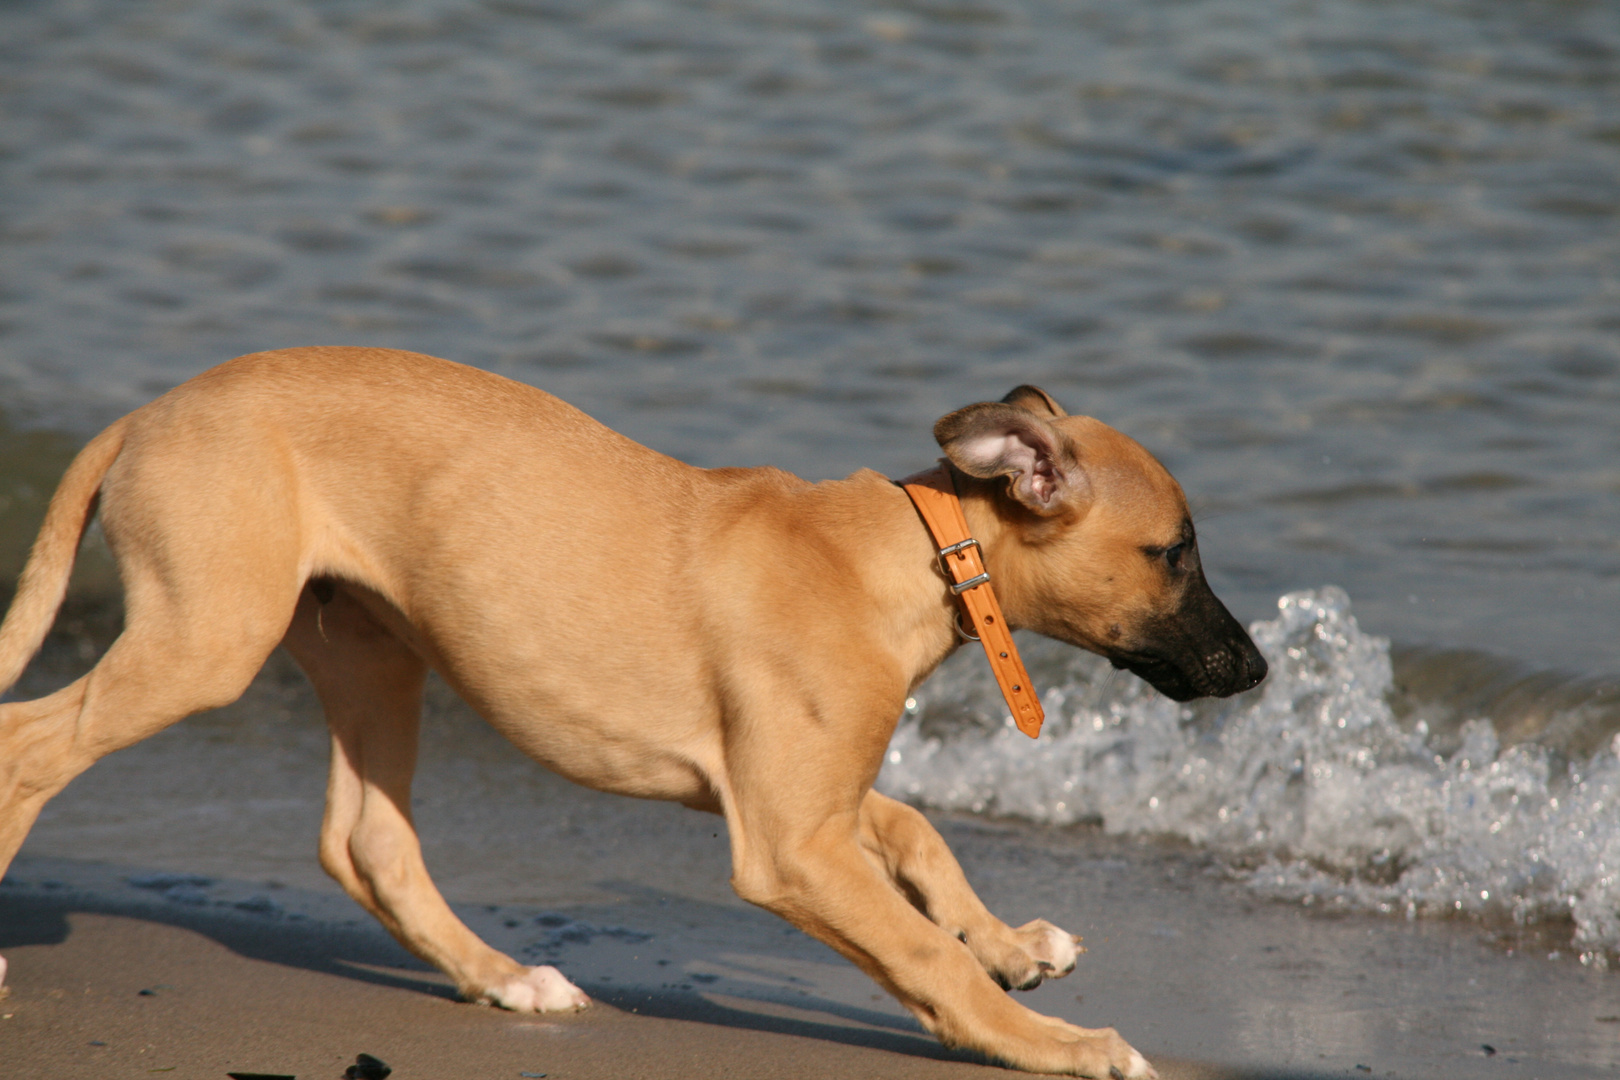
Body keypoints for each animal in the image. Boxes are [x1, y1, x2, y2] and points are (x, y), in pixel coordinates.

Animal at [0, 351, 1263, 1075]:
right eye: (1175, 552)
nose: (1255, 671)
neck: (898, 555)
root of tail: (147, 414)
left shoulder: (799, 800)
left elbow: (918, 834)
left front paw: (1011, 948)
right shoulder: (788, 846)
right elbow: (917, 953)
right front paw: (1057, 1043)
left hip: (369, 653)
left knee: (366, 842)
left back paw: (506, 978)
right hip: (204, 643)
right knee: (24, 749)